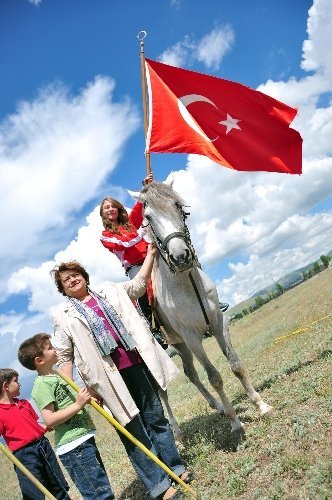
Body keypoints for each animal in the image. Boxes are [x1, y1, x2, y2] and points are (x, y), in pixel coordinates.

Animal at [130, 181, 272, 438]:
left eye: (178, 206)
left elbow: (236, 365)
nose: (180, 257)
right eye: (148, 217)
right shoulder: (193, 338)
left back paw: (216, 407)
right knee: (162, 390)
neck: (188, 285)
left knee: (190, 373)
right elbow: (215, 377)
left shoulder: (218, 323)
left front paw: (261, 405)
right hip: (162, 353)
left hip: (181, 346)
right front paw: (236, 423)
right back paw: (177, 430)